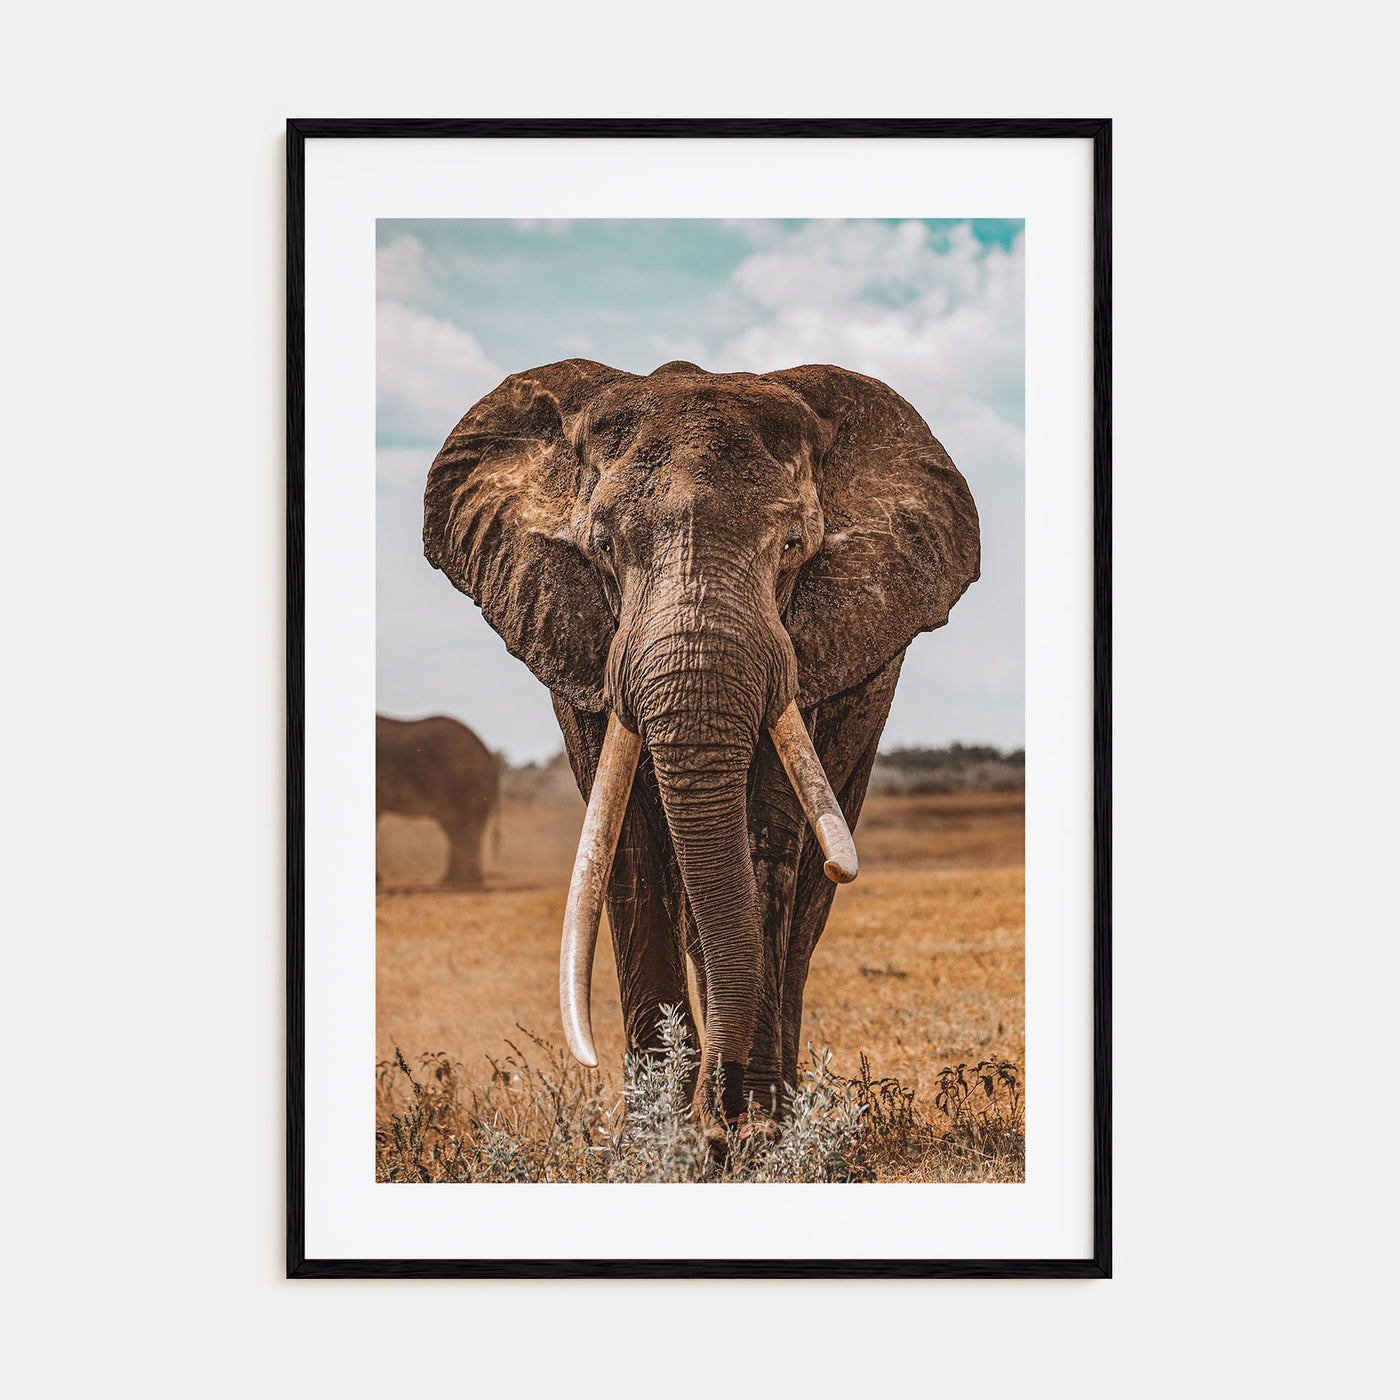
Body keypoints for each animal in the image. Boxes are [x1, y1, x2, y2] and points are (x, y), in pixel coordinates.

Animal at [423, 358, 979, 1138]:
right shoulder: (584, 647)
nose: (722, 1119)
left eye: (792, 548)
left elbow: (765, 848)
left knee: (803, 908)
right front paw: (661, 1138)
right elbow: (626, 848)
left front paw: (749, 1136)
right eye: (601, 548)